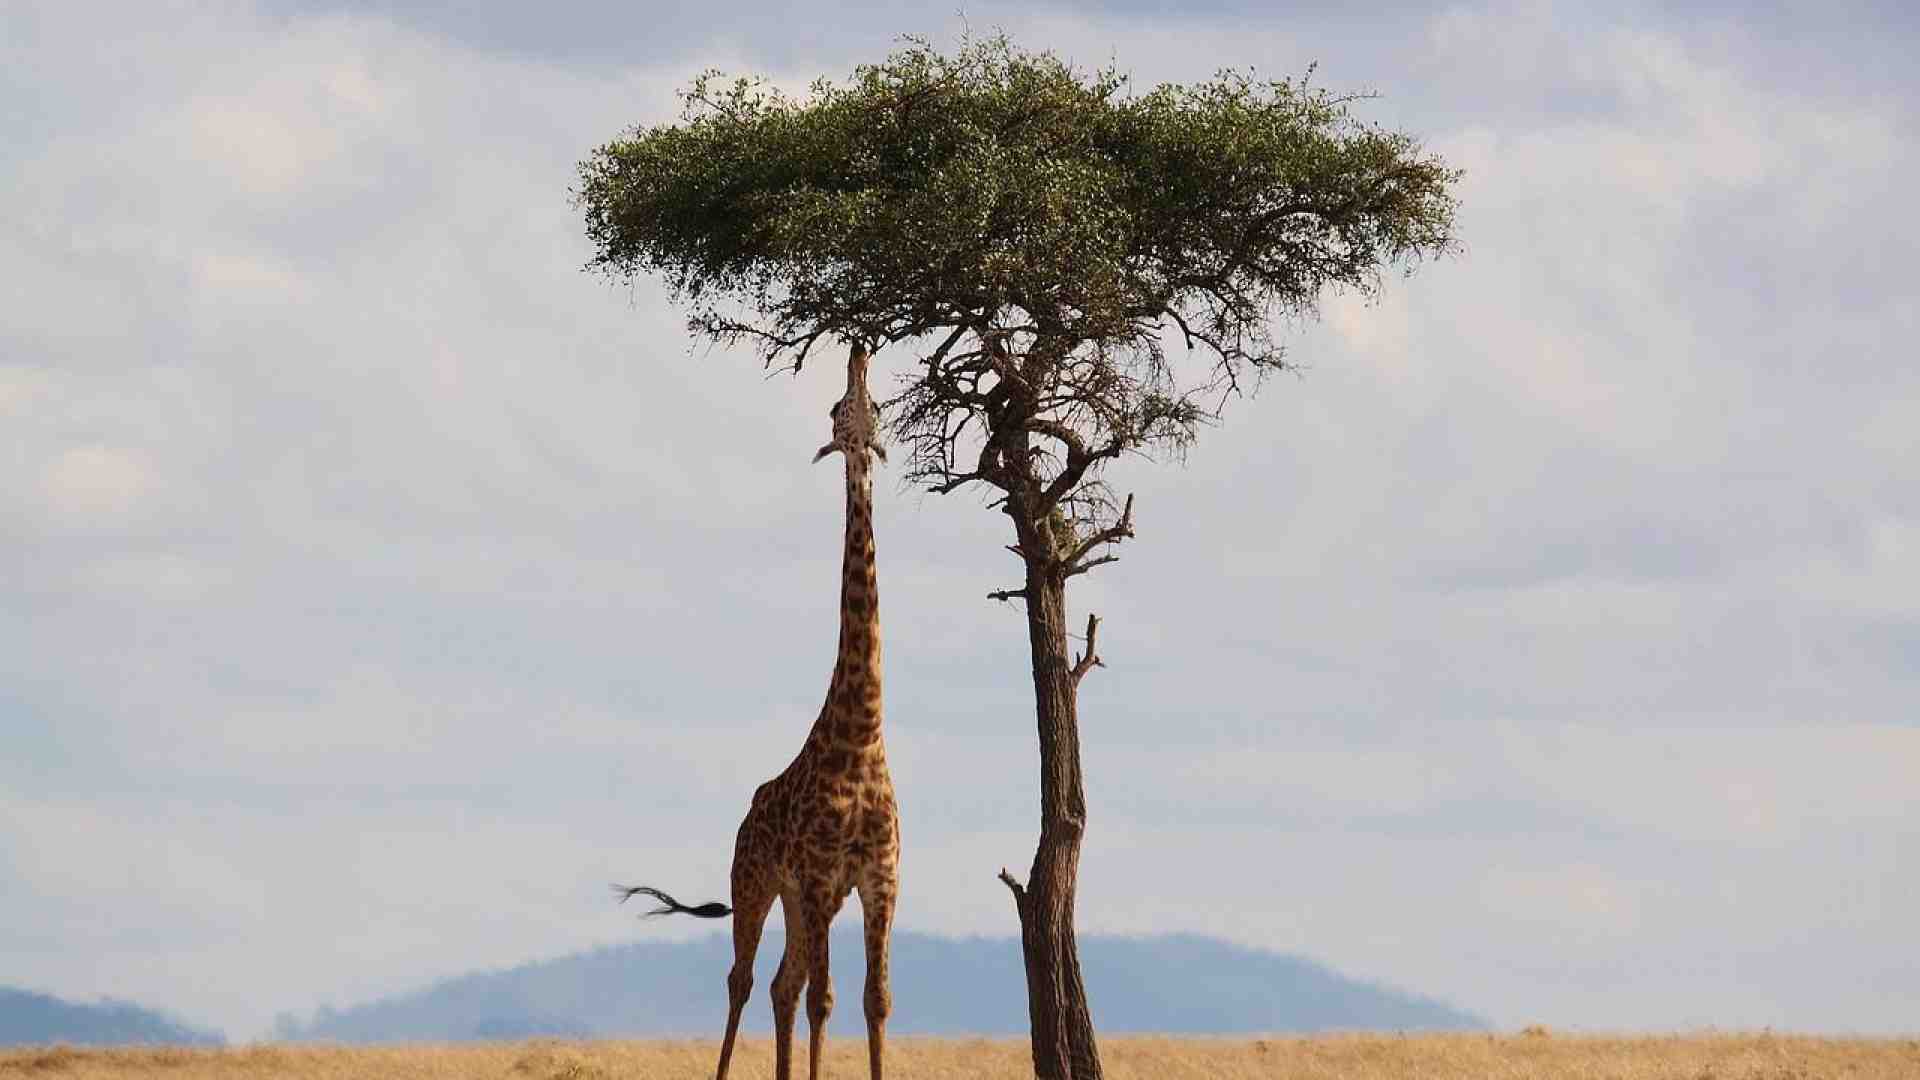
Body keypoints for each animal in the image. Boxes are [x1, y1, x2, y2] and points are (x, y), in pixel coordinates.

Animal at [617, 341, 899, 1080]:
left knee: (781, 983)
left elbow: (875, 1000)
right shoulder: (823, 878)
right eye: (838, 408)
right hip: (756, 880)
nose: (859, 348)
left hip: (797, 900)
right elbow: (827, 999)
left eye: (872, 405)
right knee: (745, 980)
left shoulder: (878, 880)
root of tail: (747, 813)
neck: (862, 736)